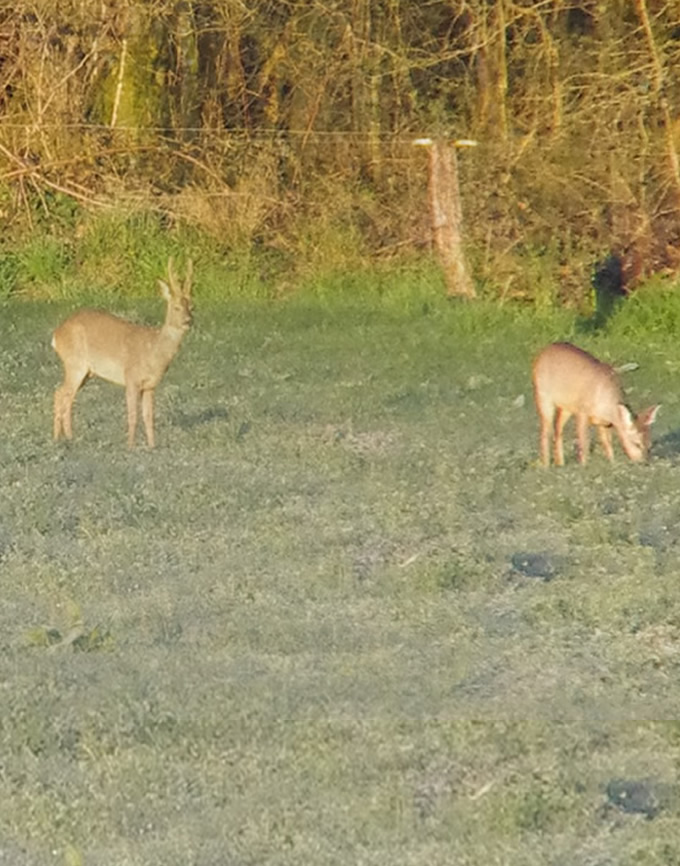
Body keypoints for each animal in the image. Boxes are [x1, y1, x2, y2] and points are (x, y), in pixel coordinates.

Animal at [51, 255, 191, 446]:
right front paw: (130, 446)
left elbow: (148, 416)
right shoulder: (131, 377)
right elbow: (133, 416)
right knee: (62, 394)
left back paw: (61, 437)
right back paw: (67, 438)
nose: (188, 321)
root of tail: (57, 335)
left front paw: (152, 446)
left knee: (63, 394)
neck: (154, 351)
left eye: (192, 306)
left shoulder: (150, 385)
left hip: (86, 372)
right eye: (176, 307)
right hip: (75, 364)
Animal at [532, 342, 660, 466]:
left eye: (650, 445)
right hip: (543, 397)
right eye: (636, 443)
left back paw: (560, 463)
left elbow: (607, 444)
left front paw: (612, 462)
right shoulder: (582, 411)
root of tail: (542, 352)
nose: (644, 462)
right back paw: (546, 465)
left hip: (566, 407)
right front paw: (584, 465)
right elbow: (584, 443)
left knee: (558, 429)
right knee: (545, 431)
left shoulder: (605, 423)